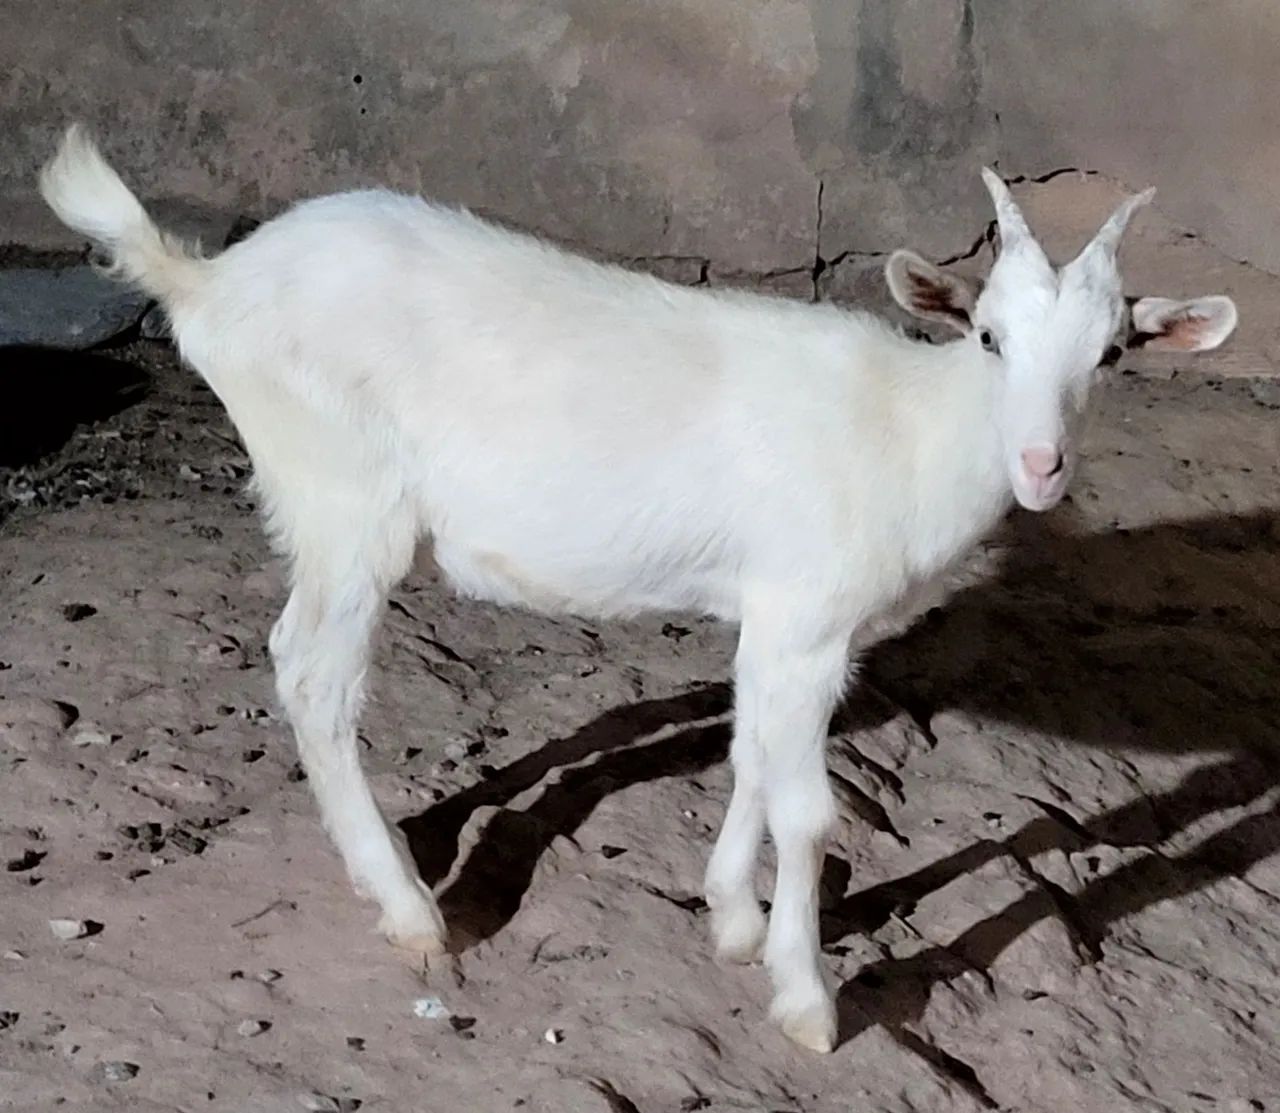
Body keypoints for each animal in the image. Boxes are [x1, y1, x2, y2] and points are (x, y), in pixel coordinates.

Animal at [39, 125, 1237, 1052]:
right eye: (988, 336)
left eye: (1111, 356)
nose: (1042, 466)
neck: (908, 429)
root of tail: (209, 280)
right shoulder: (807, 614)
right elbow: (808, 809)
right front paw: (806, 999)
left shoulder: (785, 625)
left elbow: (749, 752)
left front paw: (732, 919)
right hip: (344, 505)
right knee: (312, 677)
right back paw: (409, 908)